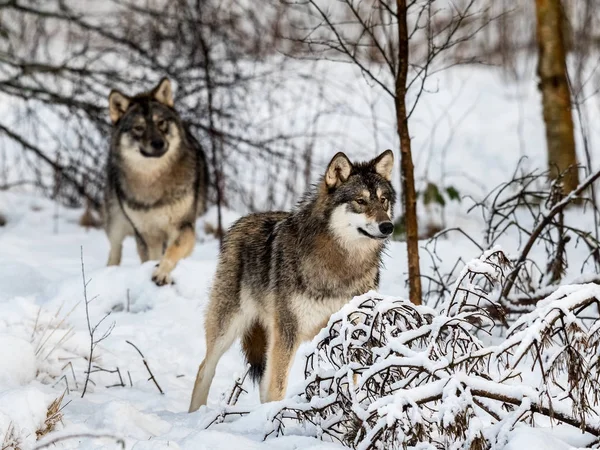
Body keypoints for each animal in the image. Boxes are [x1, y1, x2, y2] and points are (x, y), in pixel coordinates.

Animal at [105, 77, 211, 284]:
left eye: (161, 123)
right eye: (139, 128)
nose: (158, 143)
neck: (153, 182)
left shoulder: (182, 227)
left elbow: (172, 251)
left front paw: (162, 272)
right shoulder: (146, 234)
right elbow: (151, 257)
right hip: (115, 223)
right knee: (114, 251)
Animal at [188, 150, 394, 412]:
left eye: (383, 200)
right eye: (361, 201)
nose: (388, 226)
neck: (342, 265)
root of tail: (242, 220)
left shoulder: (351, 330)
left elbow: (352, 380)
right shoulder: (288, 332)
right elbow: (277, 389)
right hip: (229, 326)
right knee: (204, 369)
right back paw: (195, 415)